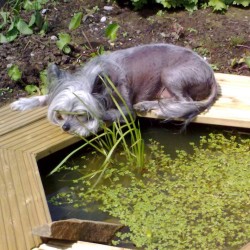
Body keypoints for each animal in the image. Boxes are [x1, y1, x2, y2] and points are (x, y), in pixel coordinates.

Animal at [10, 43, 220, 137]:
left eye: (81, 115)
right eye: (61, 113)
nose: (66, 127)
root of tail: (211, 74)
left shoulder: (126, 110)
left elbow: (105, 113)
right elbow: (46, 97)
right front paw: (25, 102)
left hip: (171, 74)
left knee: (185, 101)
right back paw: (147, 104)